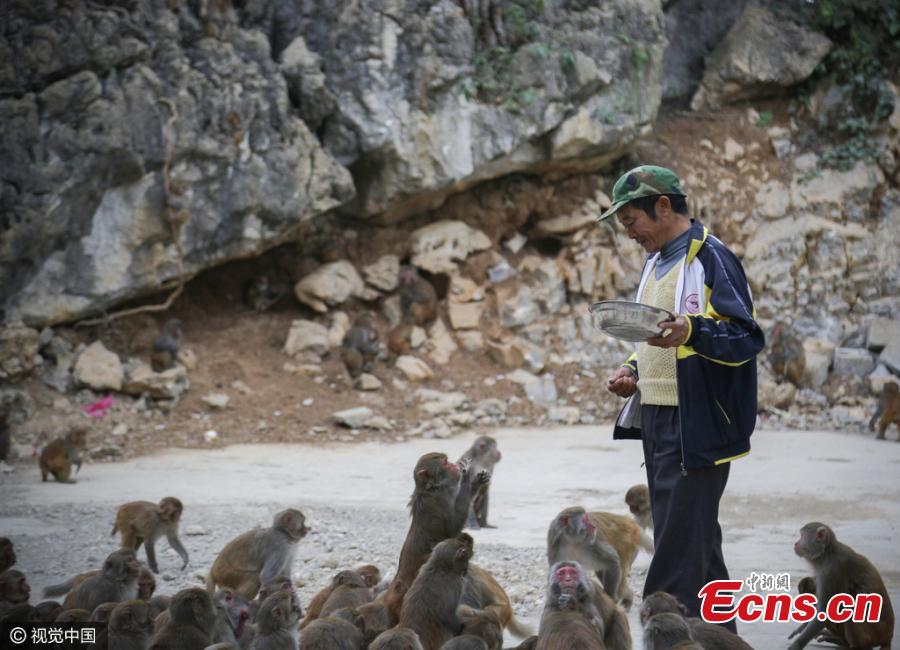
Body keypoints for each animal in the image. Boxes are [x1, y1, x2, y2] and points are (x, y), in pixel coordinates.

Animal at [385, 452, 489, 624]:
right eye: (445, 463)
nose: (454, 465)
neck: (433, 488)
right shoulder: (438, 502)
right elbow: (452, 527)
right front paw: (471, 482)